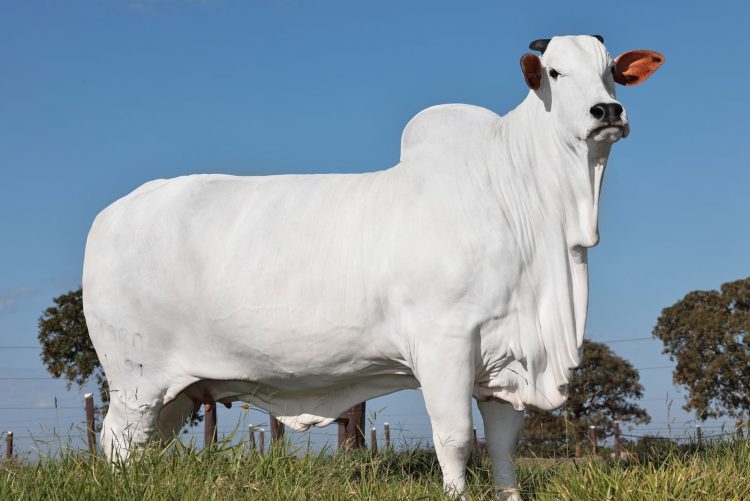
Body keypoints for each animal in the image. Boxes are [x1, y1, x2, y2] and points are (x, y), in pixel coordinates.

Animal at [82, 35, 663, 498]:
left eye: (611, 71)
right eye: (555, 72)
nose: (607, 111)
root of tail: (111, 213)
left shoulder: (506, 361)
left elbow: (501, 448)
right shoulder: (444, 344)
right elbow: (456, 439)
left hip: (176, 392)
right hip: (135, 382)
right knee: (118, 445)